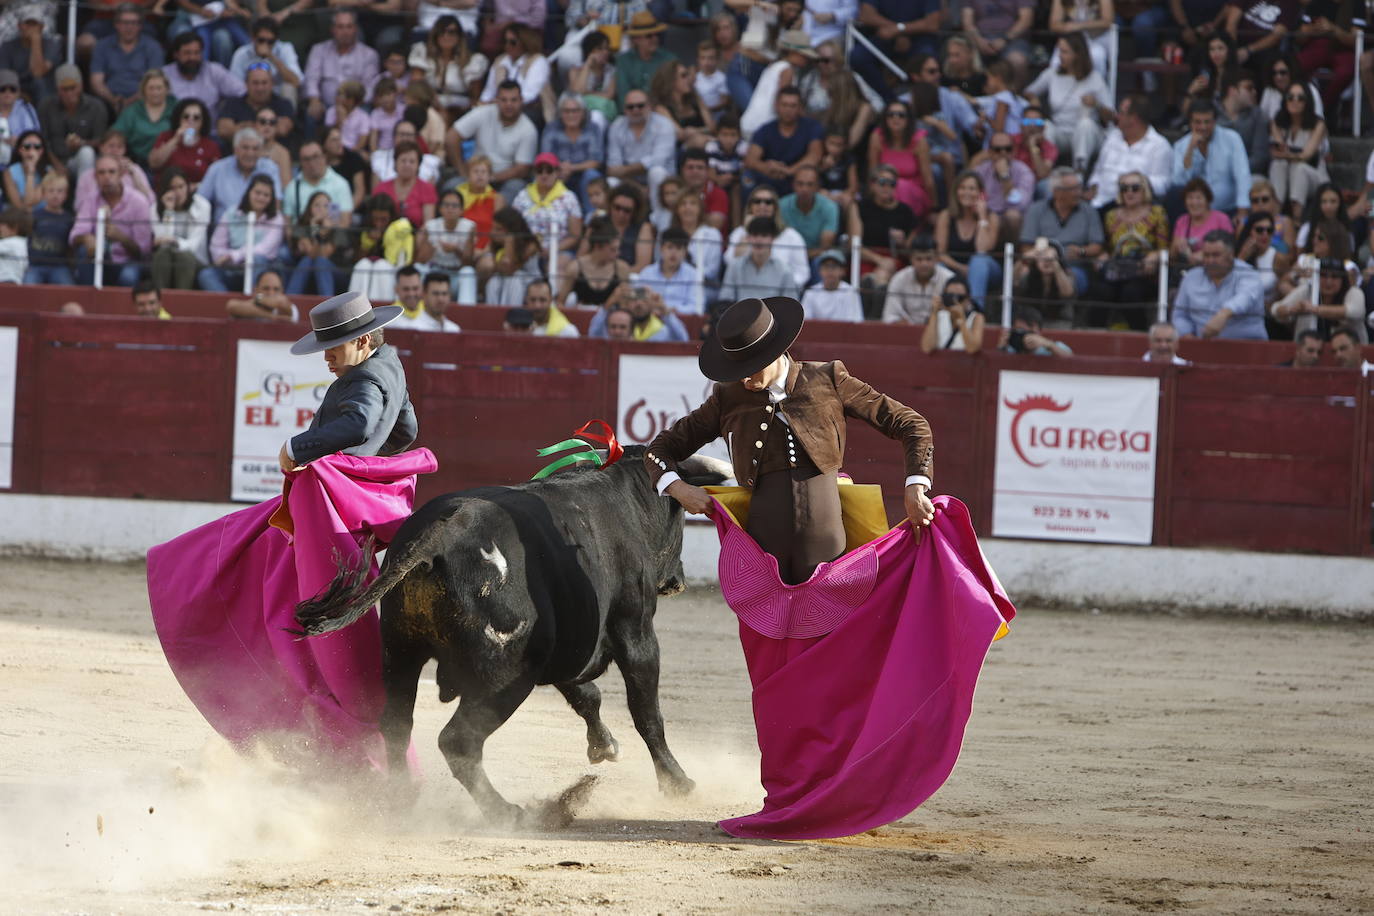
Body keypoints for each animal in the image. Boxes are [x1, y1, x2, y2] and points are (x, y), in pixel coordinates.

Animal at [295, 444, 730, 823]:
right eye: (680, 517)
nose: (677, 579)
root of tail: (439, 536)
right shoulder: (636, 632)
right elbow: (645, 711)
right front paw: (678, 782)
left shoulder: (566, 645)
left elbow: (586, 695)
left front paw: (605, 745)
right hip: (505, 674)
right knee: (458, 741)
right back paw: (508, 812)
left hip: (401, 651)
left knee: (397, 725)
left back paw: (401, 799)